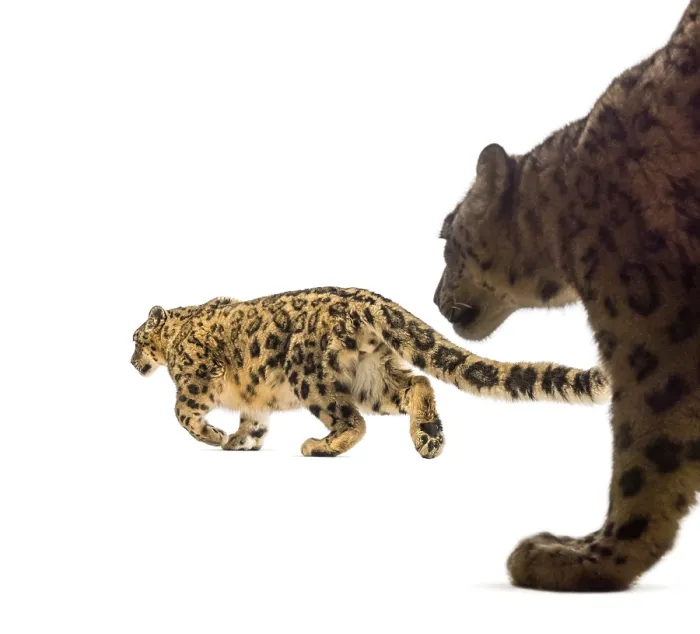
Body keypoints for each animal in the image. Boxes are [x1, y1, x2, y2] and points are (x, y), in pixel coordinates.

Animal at [131, 288, 608, 459]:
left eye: (135, 340)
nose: (132, 363)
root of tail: (364, 298)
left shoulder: (195, 378)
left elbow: (183, 413)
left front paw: (214, 437)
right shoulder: (255, 402)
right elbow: (254, 421)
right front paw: (238, 442)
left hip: (312, 378)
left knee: (354, 422)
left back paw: (319, 446)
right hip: (371, 377)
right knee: (418, 382)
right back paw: (429, 436)